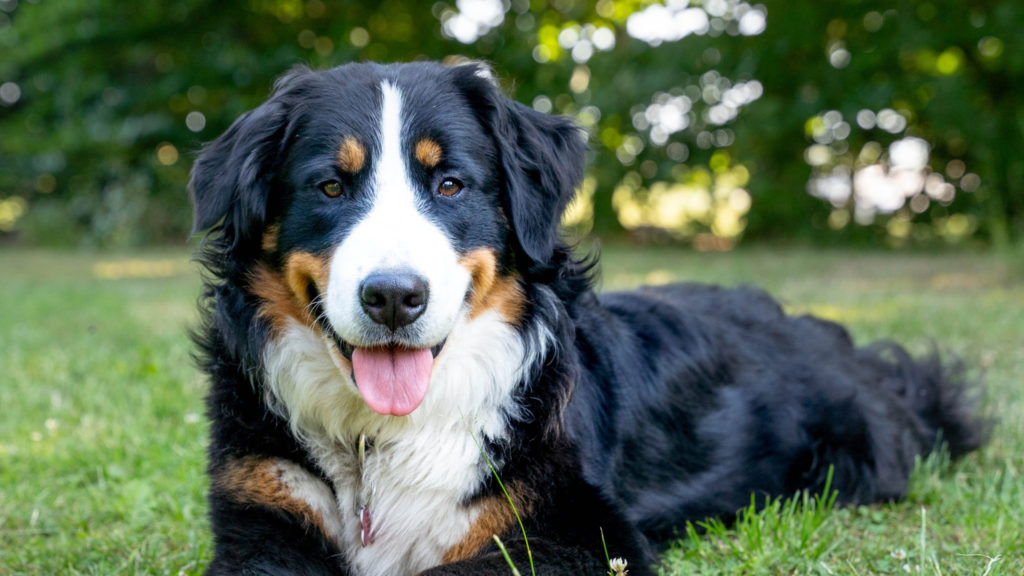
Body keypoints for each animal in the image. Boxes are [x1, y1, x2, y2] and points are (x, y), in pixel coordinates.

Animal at [188, 60, 987, 569]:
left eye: (450, 185)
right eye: (330, 186)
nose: (393, 297)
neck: (383, 441)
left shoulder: (578, 531)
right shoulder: (262, 517)